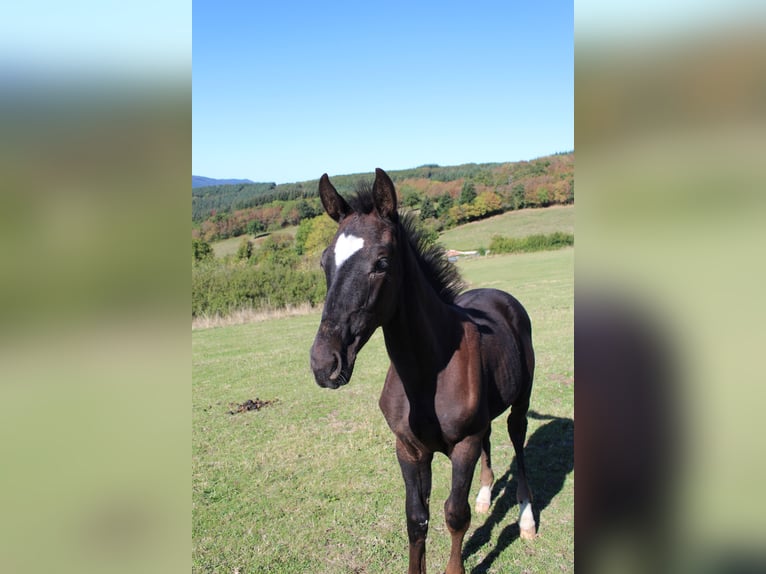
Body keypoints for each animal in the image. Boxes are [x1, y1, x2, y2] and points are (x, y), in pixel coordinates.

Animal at [308, 169, 536, 572]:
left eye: (382, 262)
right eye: (324, 262)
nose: (324, 364)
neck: (426, 374)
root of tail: (503, 298)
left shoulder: (464, 445)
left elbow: (455, 515)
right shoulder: (408, 449)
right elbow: (416, 518)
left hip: (520, 403)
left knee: (517, 441)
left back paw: (527, 519)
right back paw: (485, 494)